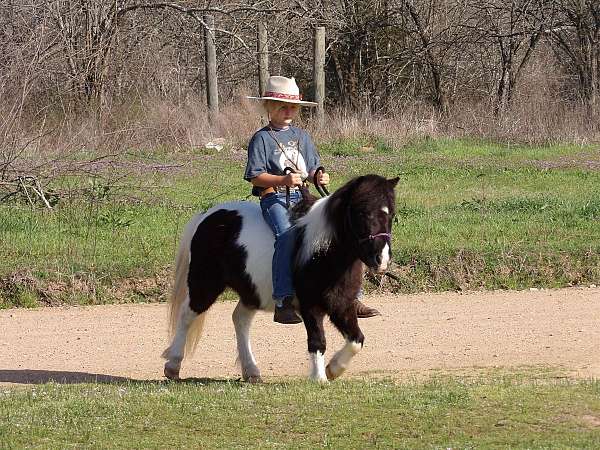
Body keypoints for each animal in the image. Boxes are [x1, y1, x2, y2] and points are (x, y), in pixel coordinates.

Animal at [162, 174, 400, 382]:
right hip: (205, 283)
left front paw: (333, 369)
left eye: (391, 215)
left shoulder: (341, 304)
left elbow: (356, 340)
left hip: (251, 291)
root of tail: (206, 216)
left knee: (240, 319)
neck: (322, 251)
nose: (381, 259)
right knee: (187, 315)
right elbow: (317, 340)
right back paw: (173, 365)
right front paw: (319, 378)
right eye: (362, 213)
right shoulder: (310, 305)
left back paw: (251, 371)